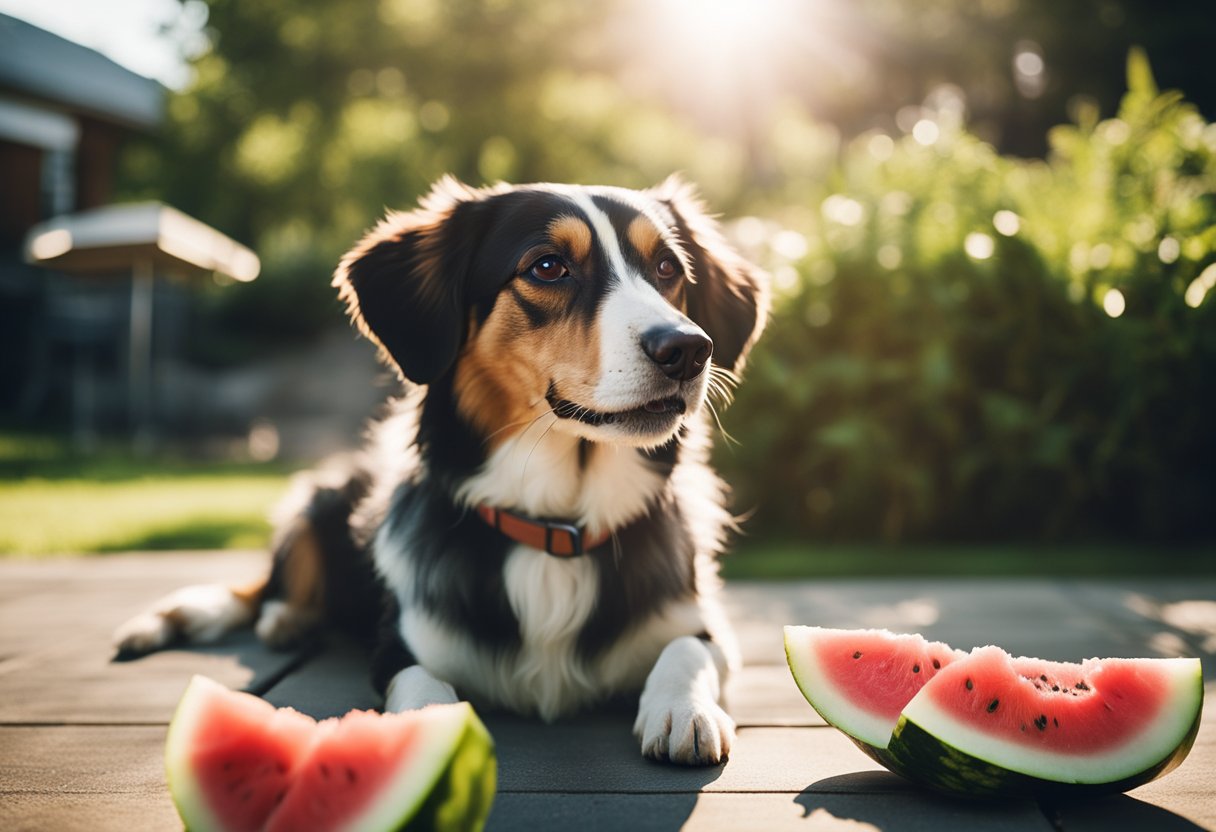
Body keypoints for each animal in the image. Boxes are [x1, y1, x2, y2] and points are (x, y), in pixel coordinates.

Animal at [120, 177, 768, 768]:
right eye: (548, 266)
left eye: (666, 267)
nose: (688, 350)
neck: (555, 528)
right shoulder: (402, 647)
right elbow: (425, 686)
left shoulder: (700, 623)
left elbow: (687, 649)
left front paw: (683, 709)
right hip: (320, 497)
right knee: (259, 588)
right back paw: (261, 617)